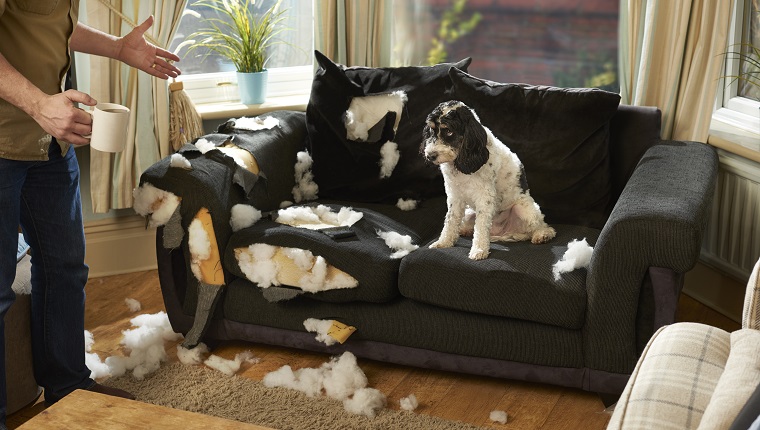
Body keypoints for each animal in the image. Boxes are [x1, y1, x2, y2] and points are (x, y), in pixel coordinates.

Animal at [422, 101, 552, 258]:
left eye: (448, 131)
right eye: (431, 130)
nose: (430, 155)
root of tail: (502, 232)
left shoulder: (484, 196)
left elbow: (481, 226)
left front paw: (479, 250)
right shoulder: (455, 195)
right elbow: (450, 220)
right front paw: (444, 242)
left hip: (524, 209)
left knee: (543, 225)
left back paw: (542, 235)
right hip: (469, 213)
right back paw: (464, 230)